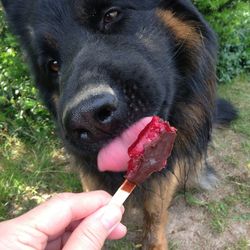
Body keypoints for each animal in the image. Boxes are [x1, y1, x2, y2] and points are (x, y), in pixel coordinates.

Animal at [1, 0, 236, 249]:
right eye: (53, 65)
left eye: (111, 15)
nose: (87, 118)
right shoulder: (90, 173)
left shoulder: (165, 172)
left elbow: (155, 212)